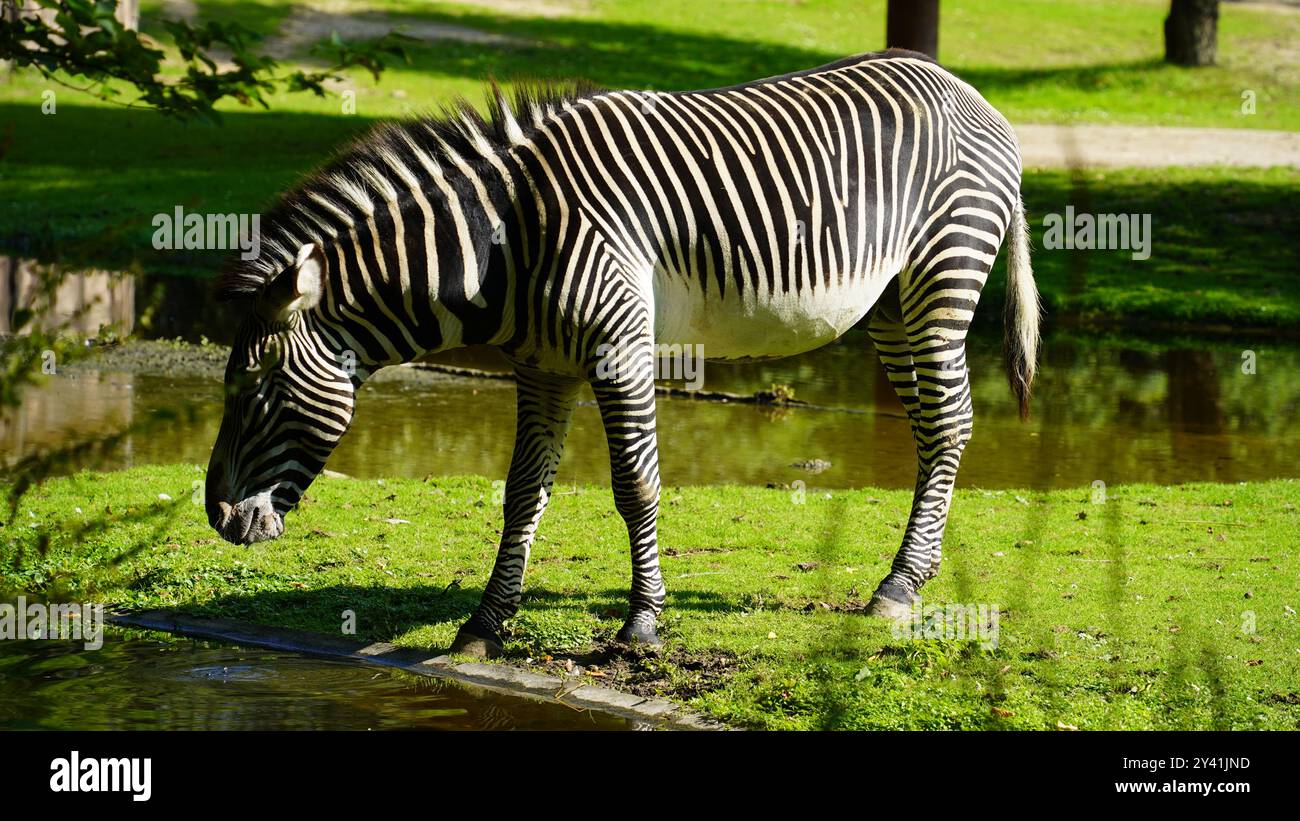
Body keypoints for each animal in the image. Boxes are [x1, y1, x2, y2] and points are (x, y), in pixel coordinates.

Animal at [208, 48, 1040, 657]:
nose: (216, 515)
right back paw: (910, 575)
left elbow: (635, 485)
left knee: (950, 425)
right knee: (932, 429)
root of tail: (968, 91)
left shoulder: (619, 346)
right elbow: (521, 491)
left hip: (942, 274)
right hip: (892, 304)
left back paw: (898, 587)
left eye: (256, 389)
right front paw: (484, 624)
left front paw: (641, 623)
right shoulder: (542, 364)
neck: (508, 240)